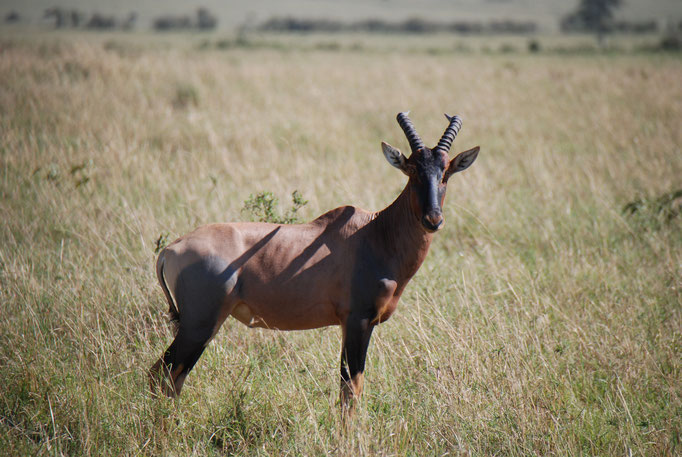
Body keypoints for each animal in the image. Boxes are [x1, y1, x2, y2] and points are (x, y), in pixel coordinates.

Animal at [149, 111, 478, 414]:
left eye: (445, 173)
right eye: (412, 171)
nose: (433, 220)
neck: (374, 232)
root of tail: (170, 249)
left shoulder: (349, 324)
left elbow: (347, 386)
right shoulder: (358, 321)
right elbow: (352, 388)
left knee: (170, 378)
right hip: (199, 325)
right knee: (162, 374)